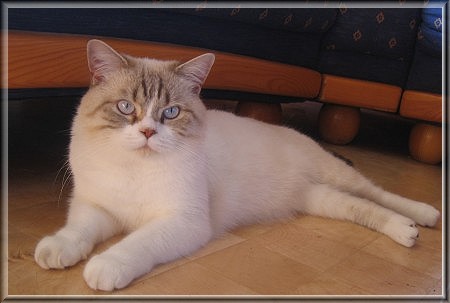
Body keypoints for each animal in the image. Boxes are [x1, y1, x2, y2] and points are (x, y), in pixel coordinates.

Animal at [34, 39, 440, 292]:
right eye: (125, 108)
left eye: (171, 112)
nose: (148, 132)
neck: (135, 168)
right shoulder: (97, 208)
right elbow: (77, 231)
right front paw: (57, 250)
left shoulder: (183, 222)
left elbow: (134, 244)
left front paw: (105, 267)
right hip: (322, 200)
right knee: (364, 208)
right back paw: (405, 230)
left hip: (337, 175)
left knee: (380, 194)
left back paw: (422, 218)